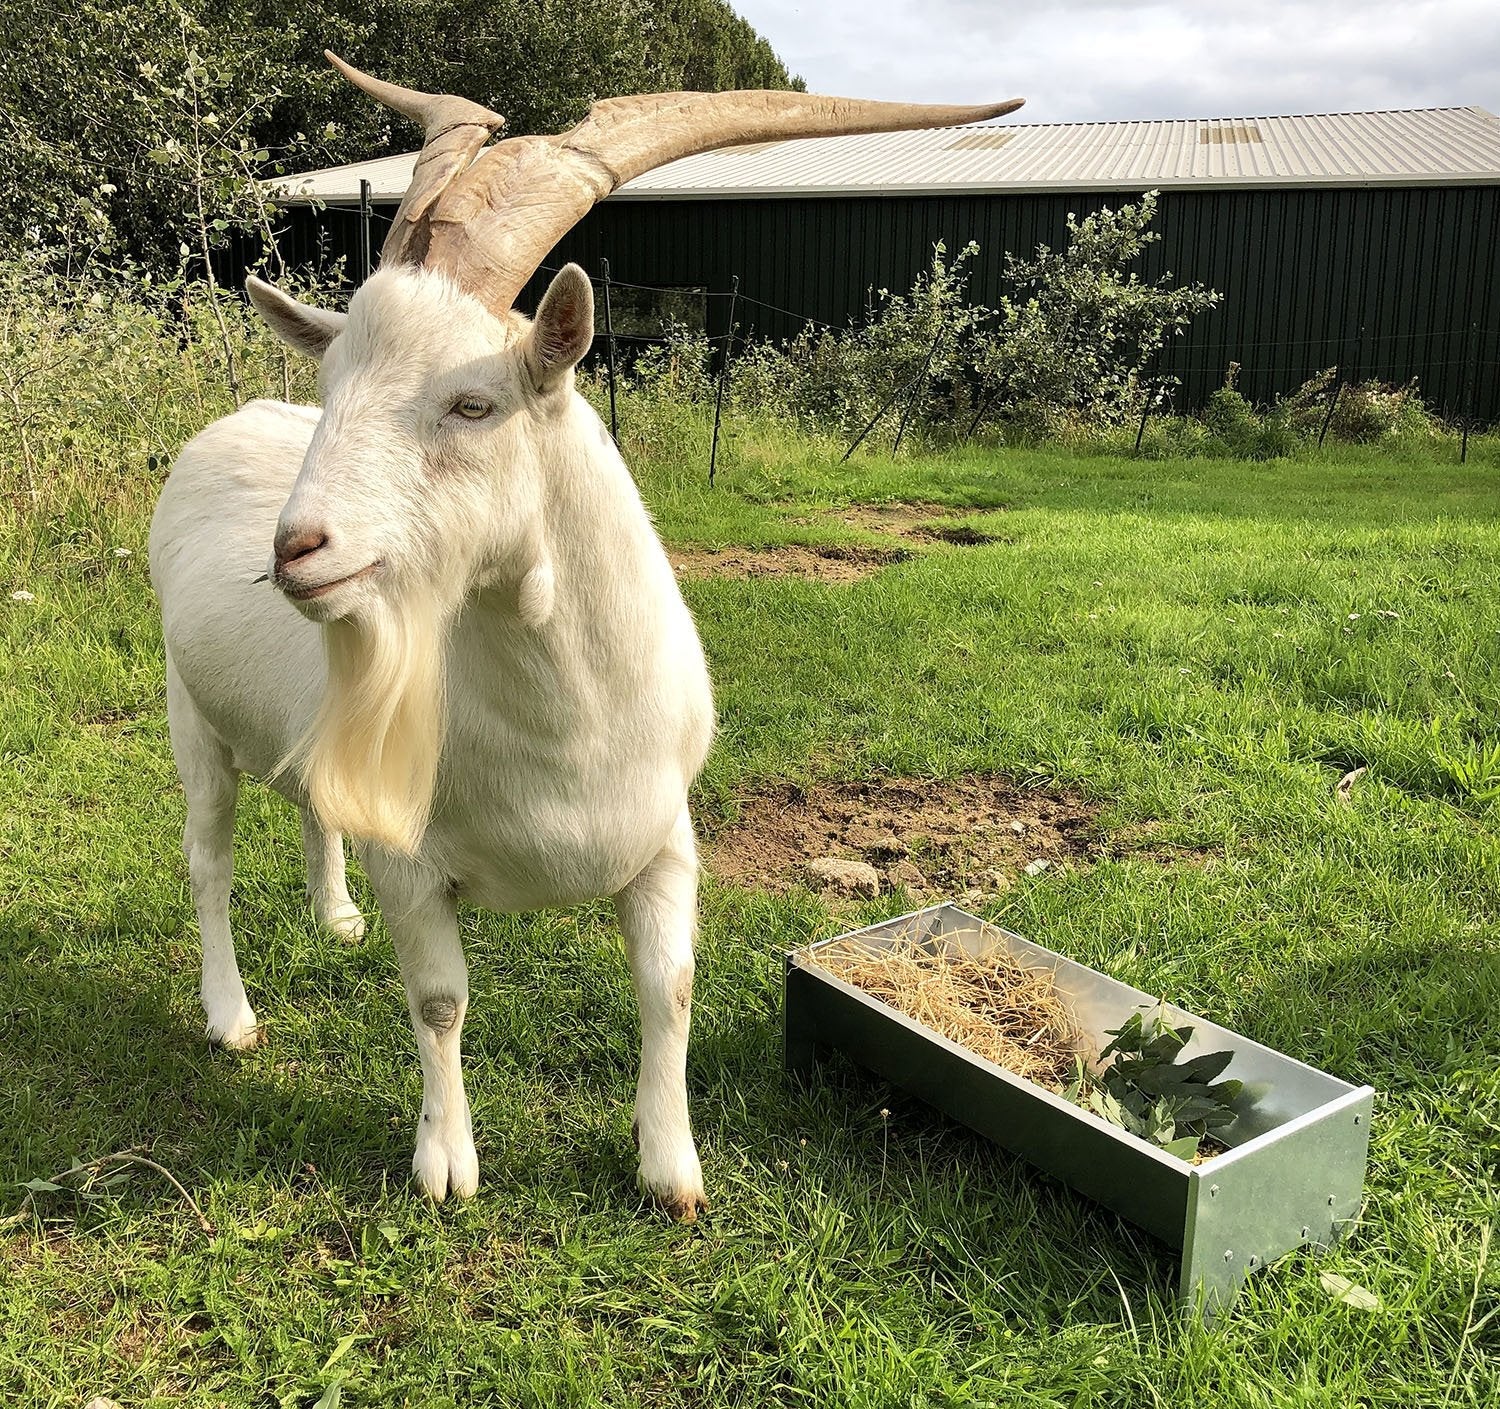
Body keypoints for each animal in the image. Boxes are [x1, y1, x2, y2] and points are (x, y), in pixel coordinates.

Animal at [148, 51, 1022, 1214]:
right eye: (332, 386)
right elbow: (439, 998)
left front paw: (673, 1168)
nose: (298, 547)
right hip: (190, 714)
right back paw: (231, 1016)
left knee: (314, 803)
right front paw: (446, 1163)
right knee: (207, 860)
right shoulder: (414, 864)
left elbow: (671, 984)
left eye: (473, 402)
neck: (563, 732)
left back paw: (334, 917)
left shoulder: (665, 839)